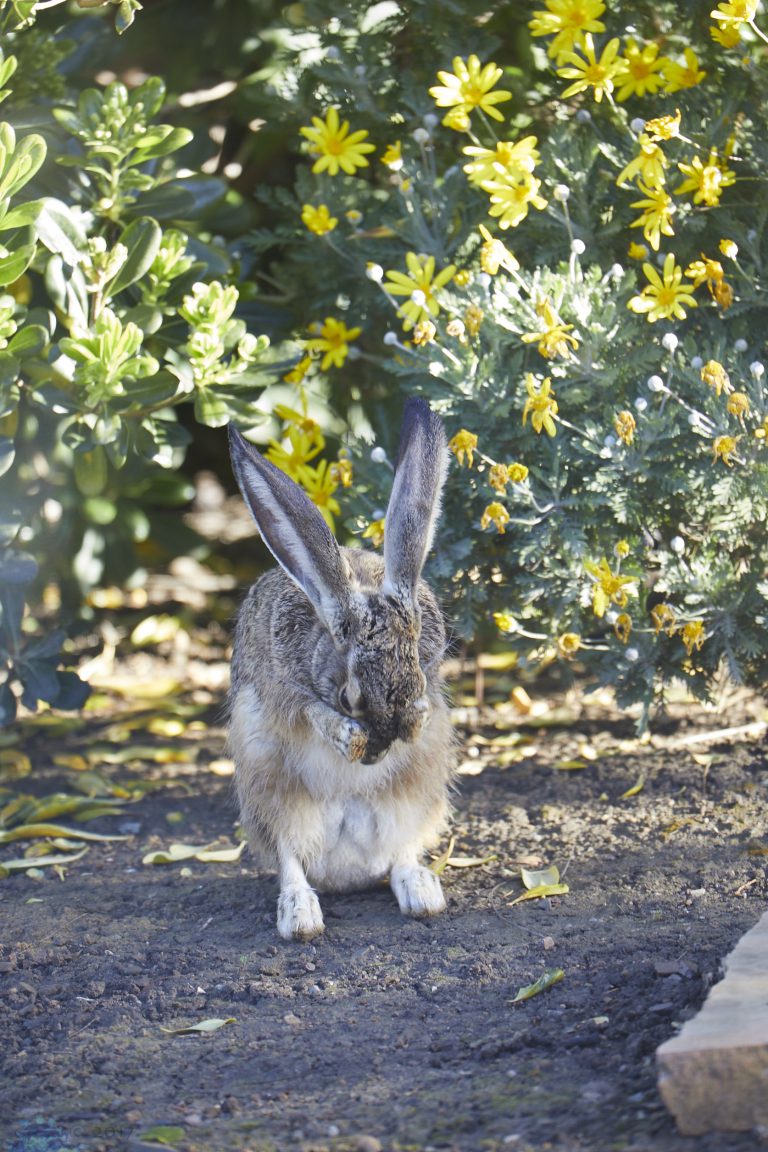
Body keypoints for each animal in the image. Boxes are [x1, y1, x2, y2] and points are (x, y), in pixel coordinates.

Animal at [227, 396, 454, 941]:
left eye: (417, 681)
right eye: (351, 698)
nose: (377, 753)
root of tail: (348, 874)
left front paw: (417, 721)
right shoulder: (283, 690)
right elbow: (310, 712)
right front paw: (346, 737)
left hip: (415, 795)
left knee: (401, 853)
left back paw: (422, 893)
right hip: (270, 790)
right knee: (291, 857)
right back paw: (301, 916)